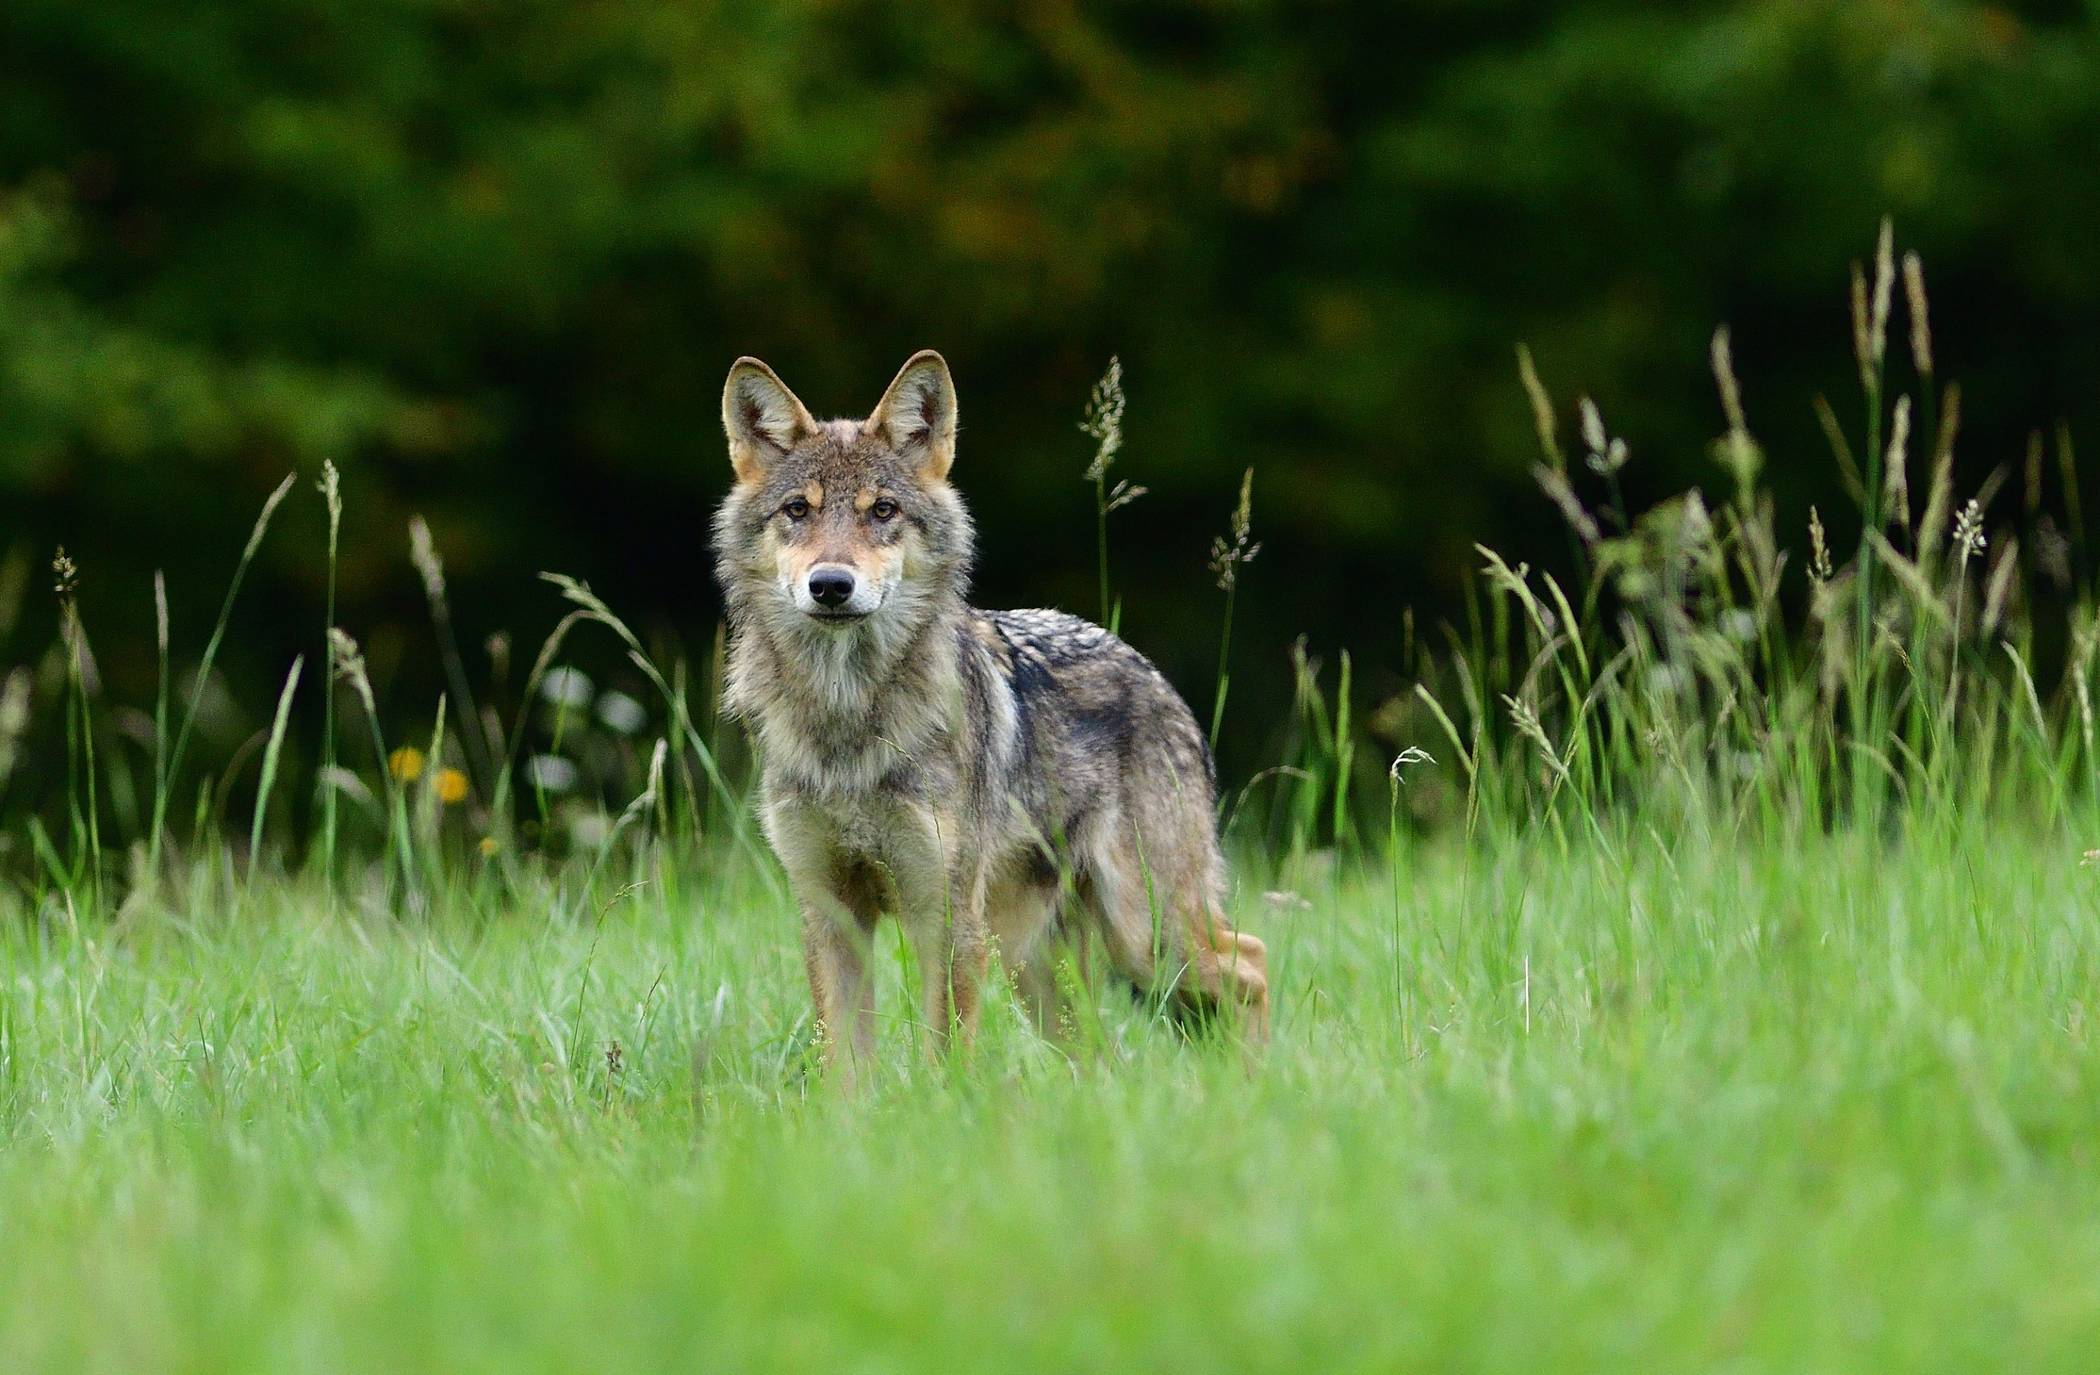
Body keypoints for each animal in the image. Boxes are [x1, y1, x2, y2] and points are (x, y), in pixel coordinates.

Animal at [712, 350, 1269, 1085]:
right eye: (797, 510)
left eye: (883, 510)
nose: (830, 585)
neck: (848, 719)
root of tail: (1153, 674)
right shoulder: (831, 915)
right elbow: (845, 1075)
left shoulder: (945, 917)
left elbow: (944, 1055)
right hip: (1037, 961)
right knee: (1102, 1053)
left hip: (1143, 933)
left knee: (1252, 962)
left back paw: (1256, 1085)